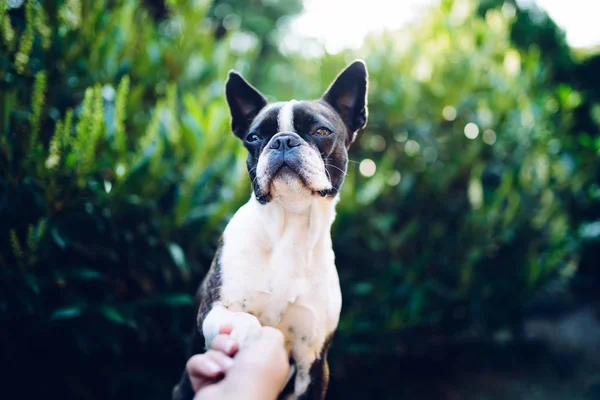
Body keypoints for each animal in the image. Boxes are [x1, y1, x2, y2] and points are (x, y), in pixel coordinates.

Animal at [173, 59, 368, 400]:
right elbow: (245, 322)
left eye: (321, 131)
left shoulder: (313, 362)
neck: (290, 226)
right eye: (253, 137)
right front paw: (246, 338)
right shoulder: (210, 312)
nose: (283, 140)